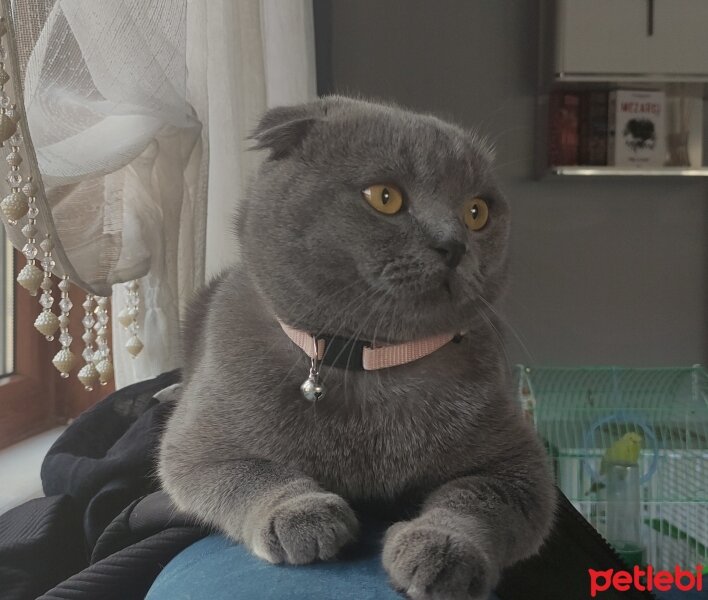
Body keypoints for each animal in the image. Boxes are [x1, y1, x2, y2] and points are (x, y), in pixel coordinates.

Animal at [158, 96, 556, 600]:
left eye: (476, 212)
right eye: (385, 197)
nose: (454, 245)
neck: (367, 359)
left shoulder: (519, 466)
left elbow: (476, 500)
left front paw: (440, 550)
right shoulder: (199, 445)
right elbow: (252, 473)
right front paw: (302, 515)